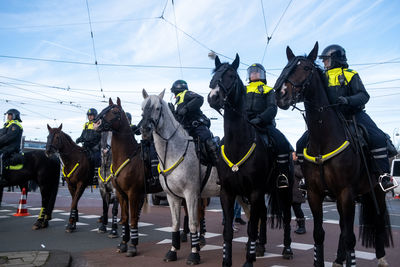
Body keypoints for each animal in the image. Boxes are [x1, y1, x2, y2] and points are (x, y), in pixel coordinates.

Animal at [95, 98, 161, 258]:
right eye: (104, 108)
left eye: (115, 111)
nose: (96, 124)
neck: (127, 155)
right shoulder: (121, 194)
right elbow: (125, 218)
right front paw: (123, 243)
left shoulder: (133, 194)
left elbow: (133, 219)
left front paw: (133, 246)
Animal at [142, 90, 220, 266]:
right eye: (143, 108)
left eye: (157, 108)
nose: (144, 129)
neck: (174, 151)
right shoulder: (173, 197)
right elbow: (175, 223)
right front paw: (172, 251)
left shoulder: (191, 195)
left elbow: (193, 223)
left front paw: (194, 254)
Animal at [274, 43, 392, 266]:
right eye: (286, 66)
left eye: (306, 68)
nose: (280, 94)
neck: (324, 140)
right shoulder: (315, 193)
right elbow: (319, 234)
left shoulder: (347, 192)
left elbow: (350, 237)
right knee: (343, 227)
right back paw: (338, 258)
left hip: (376, 191)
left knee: (378, 220)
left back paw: (381, 257)